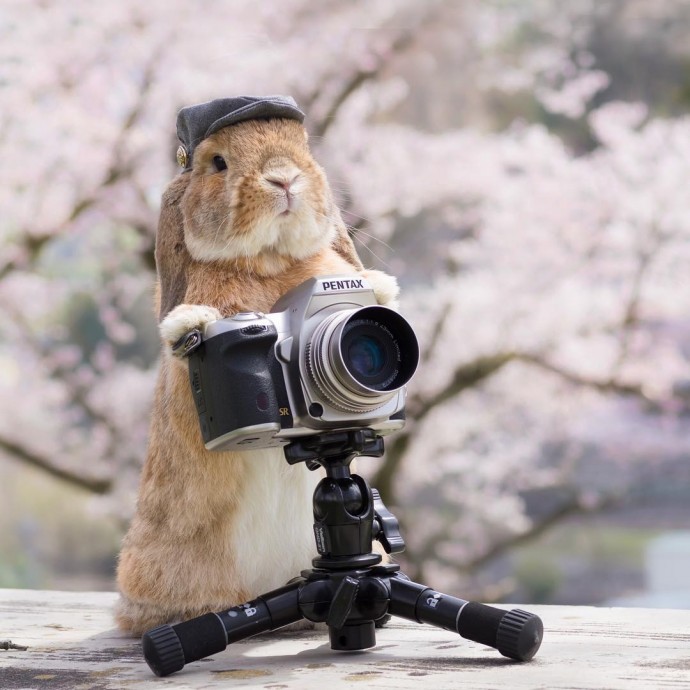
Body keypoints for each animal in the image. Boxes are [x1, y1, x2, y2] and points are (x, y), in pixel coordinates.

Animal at [114, 113, 398, 636]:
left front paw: (382, 287)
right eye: (218, 163)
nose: (283, 178)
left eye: (303, 147)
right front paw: (190, 324)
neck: (269, 261)